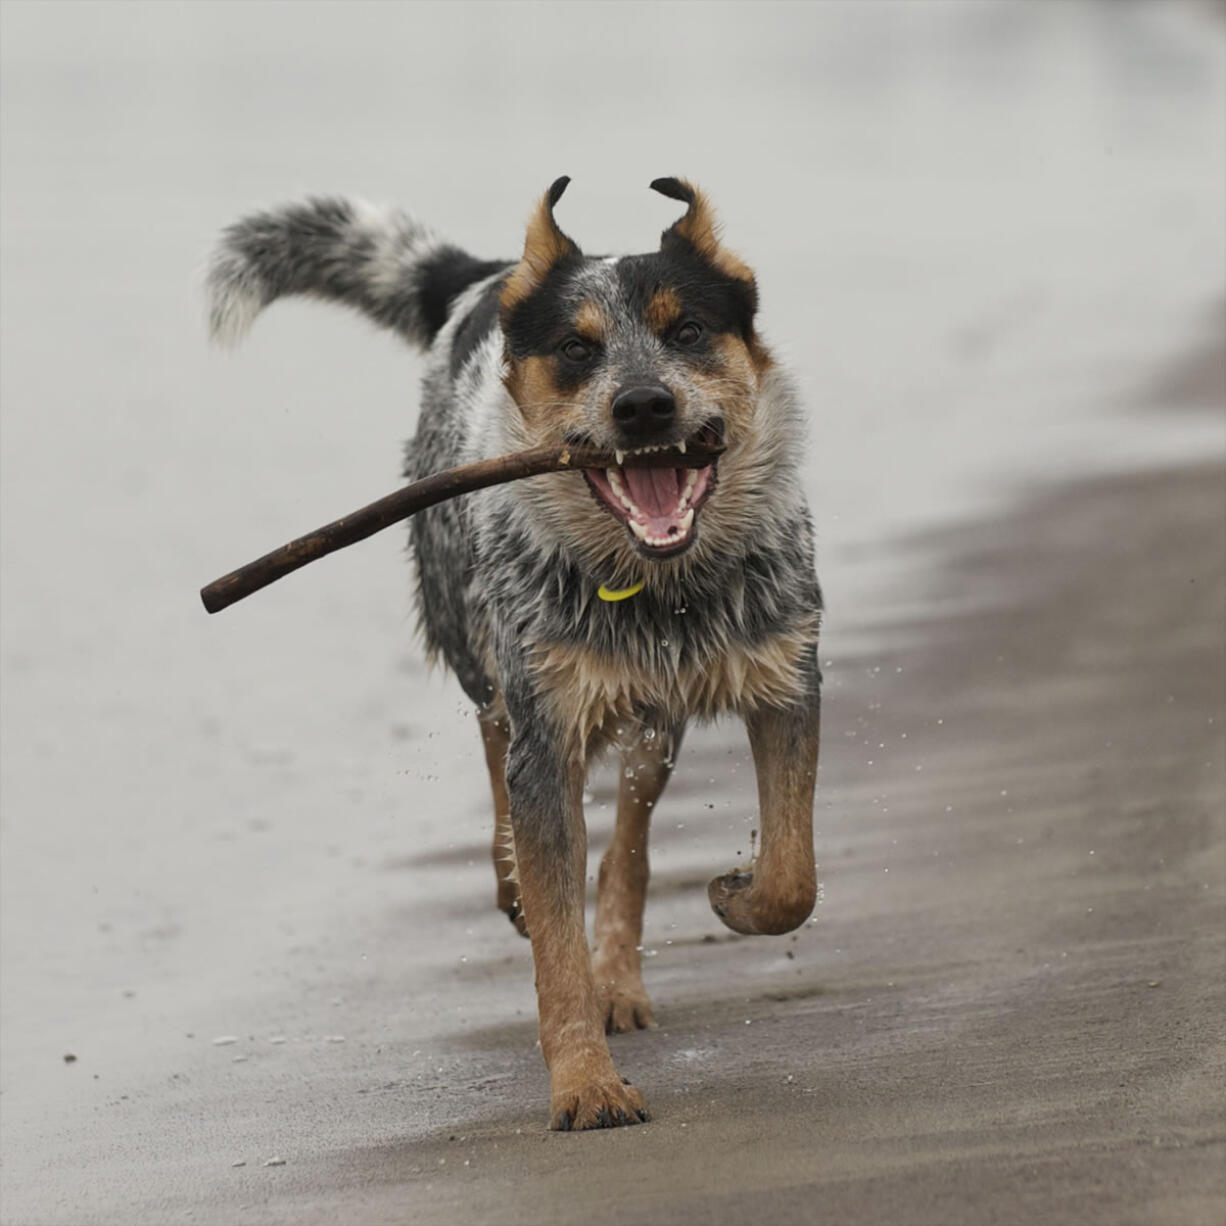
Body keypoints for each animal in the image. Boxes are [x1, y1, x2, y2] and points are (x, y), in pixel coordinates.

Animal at [205, 178, 823, 1127]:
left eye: (687, 332)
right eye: (575, 348)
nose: (643, 406)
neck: (660, 587)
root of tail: (491, 274)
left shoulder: (787, 672)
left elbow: (791, 875)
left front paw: (735, 894)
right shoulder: (547, 721)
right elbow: (553, 932)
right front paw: (586, 1085)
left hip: (653, 726)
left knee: (630, 839)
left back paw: (620, 973)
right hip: (475, 636)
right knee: (495, 740)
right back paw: (511, 883)